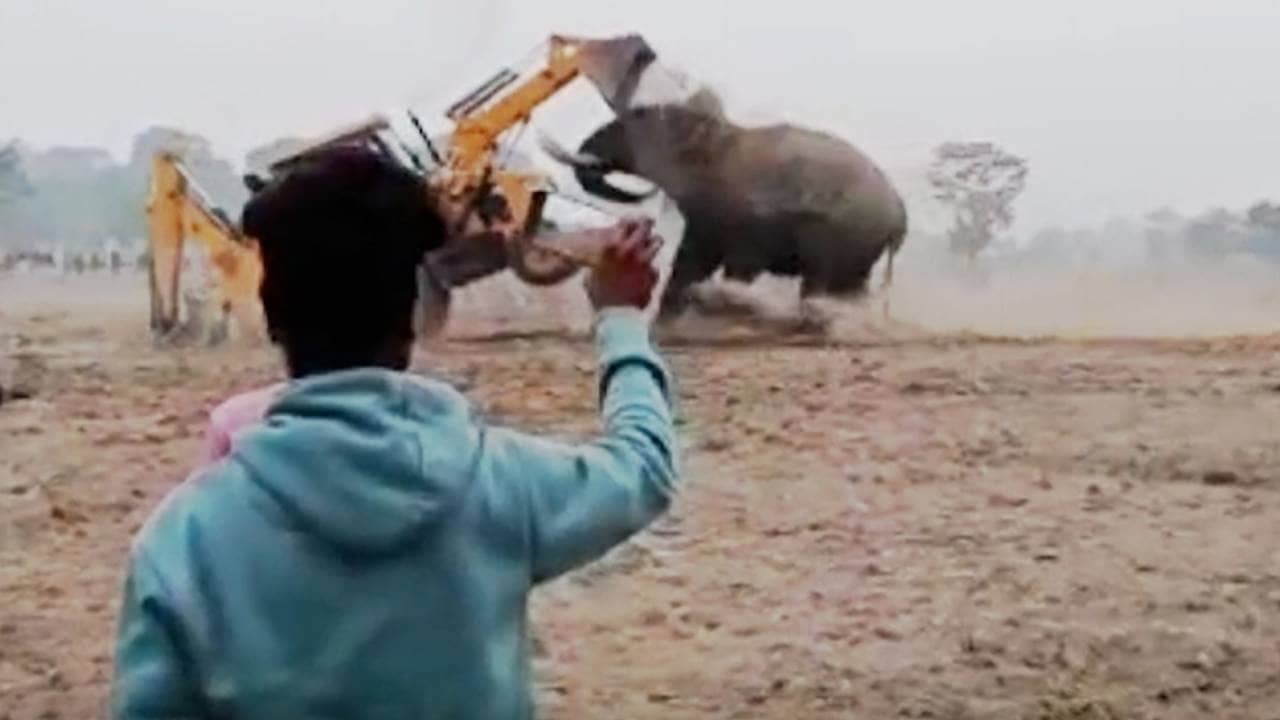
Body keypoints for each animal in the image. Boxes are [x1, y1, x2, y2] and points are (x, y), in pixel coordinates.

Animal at [544, 98, 908, 323]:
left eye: (636, 120)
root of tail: (899, 213)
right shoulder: (708, 215)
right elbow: (690, 263)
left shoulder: (746, 218)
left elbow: (732, 266)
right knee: (850, 288)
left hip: (844, 234)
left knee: (820, 281)